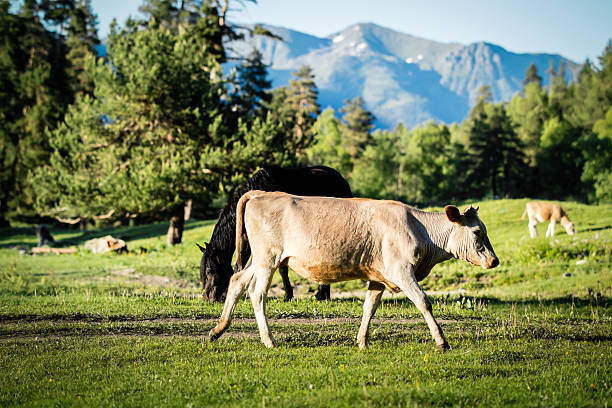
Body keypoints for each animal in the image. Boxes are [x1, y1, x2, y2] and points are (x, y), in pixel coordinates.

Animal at [198, 164, 352, 302]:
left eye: (209, 270)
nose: (207, 298)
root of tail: (342, 179)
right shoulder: (246, 238)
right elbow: (239, 266)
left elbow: (282, 269)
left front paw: (287, 295)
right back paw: (323, 294)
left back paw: (321, 294)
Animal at [208, 192, 500, 350]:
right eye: (477, 231)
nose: (494, 261)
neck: (422, 230)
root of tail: (262, 193)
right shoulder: (401, 270)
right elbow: (423, 302)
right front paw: (441, 341)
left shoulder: (379, 277)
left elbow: (369, 307)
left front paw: (361, 341)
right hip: (268, 258)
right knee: (257, 294)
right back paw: (268, 340)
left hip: (259, 260)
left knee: (237, 281)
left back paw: (218, 329)